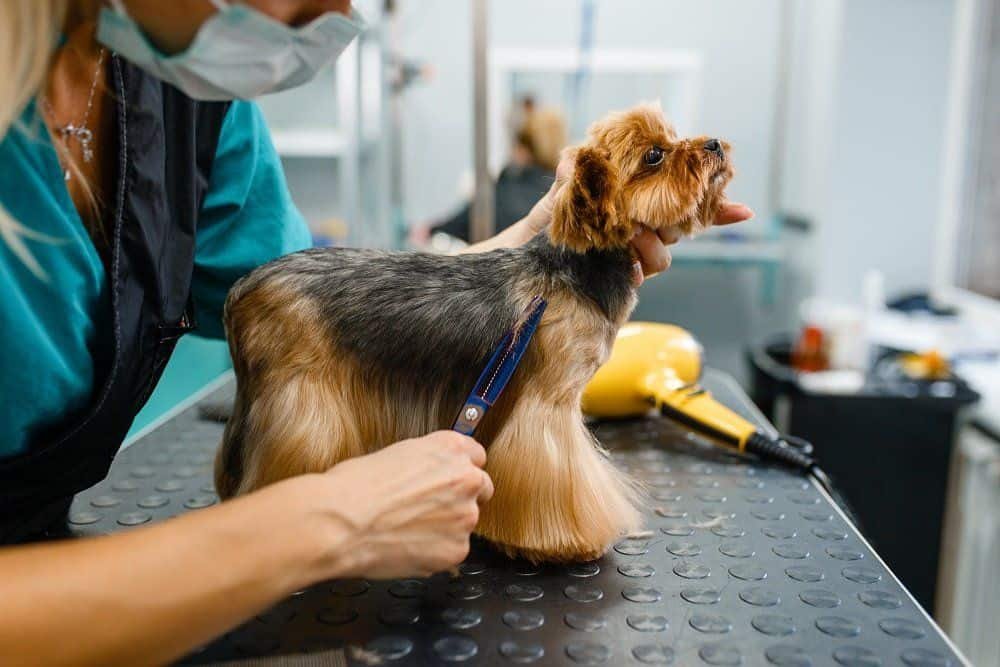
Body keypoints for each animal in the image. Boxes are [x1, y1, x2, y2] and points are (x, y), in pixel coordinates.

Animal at [217, 103, 736, 564]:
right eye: (655, 155)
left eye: (673, 135)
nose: (714, 143)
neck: (575, 270)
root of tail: (244, 287)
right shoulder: (548, 405)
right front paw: (563, 543)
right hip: (305, 401)